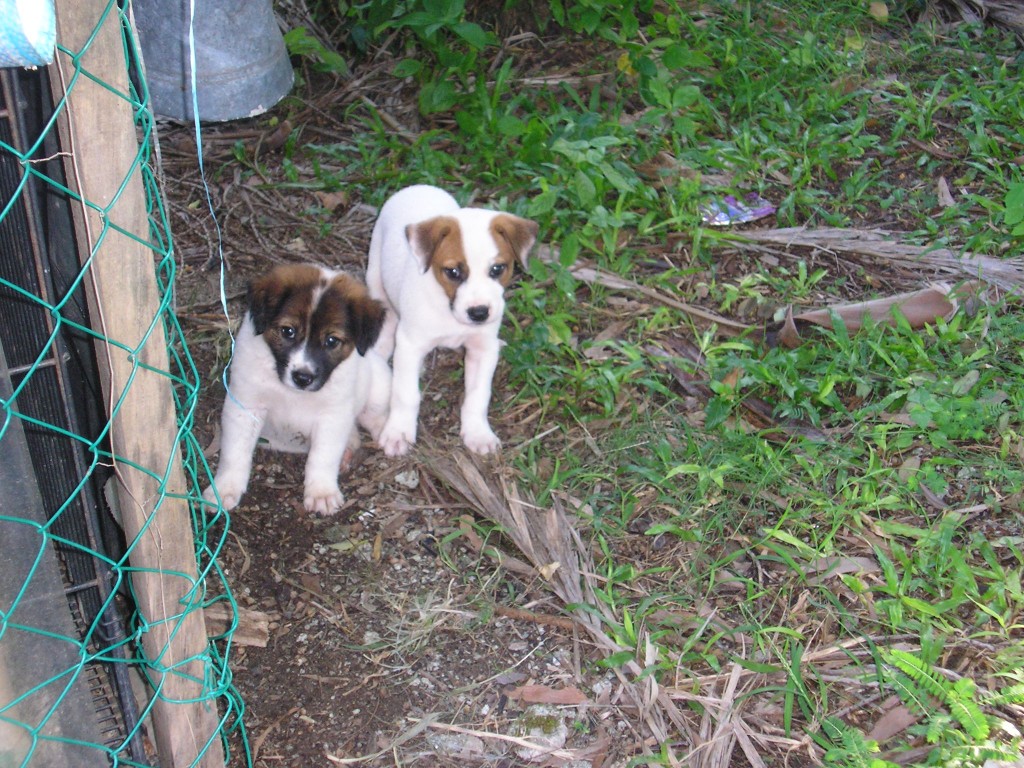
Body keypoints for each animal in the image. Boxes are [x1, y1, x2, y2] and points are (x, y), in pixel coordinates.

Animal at [205, 264, 389, 518]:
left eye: (332, 341)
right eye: (288, 331)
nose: (302, 378)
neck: (292, 393)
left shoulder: (333, 415)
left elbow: (323, 456)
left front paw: (321, 492)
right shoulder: (245, 404)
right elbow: (235, 451)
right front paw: (223, 488)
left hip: (378, 385)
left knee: (373, 415)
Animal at [368, 185, 544, 456]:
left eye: (497, 269)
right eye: (453, 272)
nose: (479, 313)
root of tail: (418, 187)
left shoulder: (482, 349)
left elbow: (478, 395)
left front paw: (478, 433)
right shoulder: (410, 344)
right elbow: (406, 393)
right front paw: (398, 432)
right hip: (376, 276)